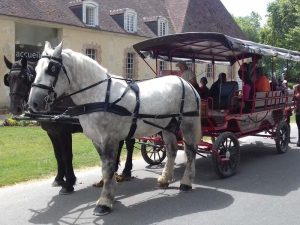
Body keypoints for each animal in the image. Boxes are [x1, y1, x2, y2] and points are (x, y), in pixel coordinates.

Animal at [28, 41, 202, 215]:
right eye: (35, 70)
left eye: (52, 68)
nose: (33, 103)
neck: (99, 95)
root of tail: (186, 83)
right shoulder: (96, 140)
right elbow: (105, 168)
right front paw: (111, 193)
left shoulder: (108, 139)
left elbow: (108, 167)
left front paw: (104, 201)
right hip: (167, 126)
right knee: (172, 150)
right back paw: (165, 178)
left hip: (188, 123)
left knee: (190, 151)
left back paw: (186, 182)